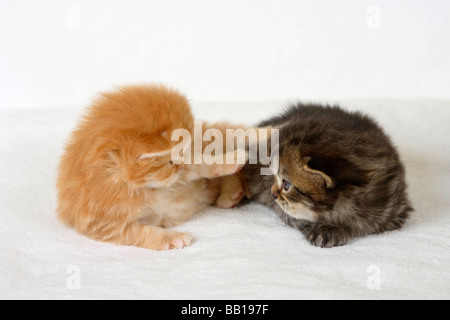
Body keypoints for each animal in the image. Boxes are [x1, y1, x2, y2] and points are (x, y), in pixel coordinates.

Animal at [57, 85, 246, 250]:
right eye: (170, 162)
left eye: (181, 153)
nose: (180, 165)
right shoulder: (105, 224)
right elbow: (143, 232)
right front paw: (174, 238)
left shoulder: (184, 171)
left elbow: (201, 163)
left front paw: (232, 159)